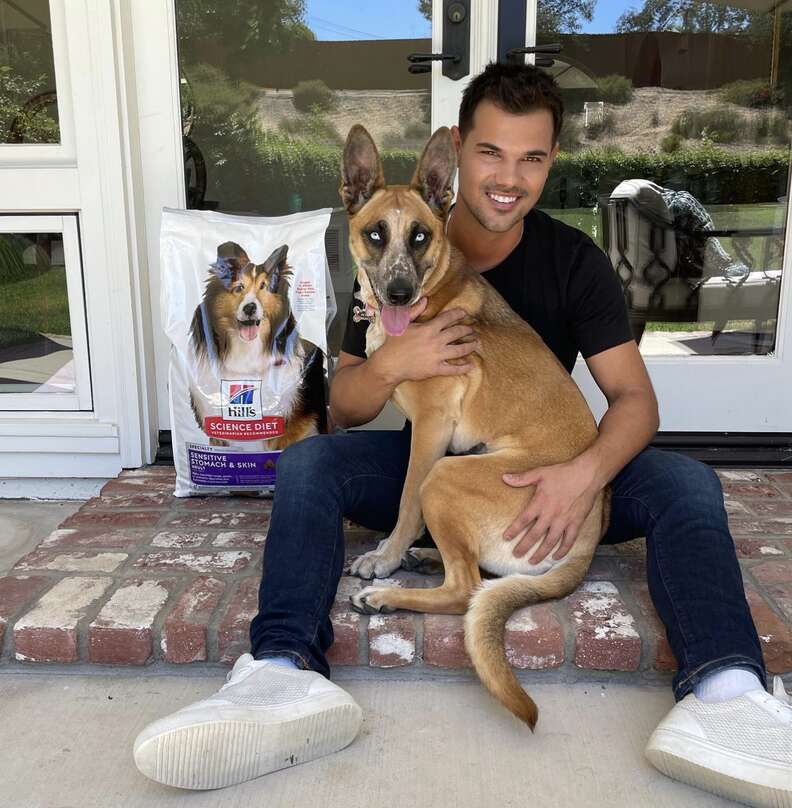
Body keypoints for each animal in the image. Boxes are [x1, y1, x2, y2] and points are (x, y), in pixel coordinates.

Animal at [342, 126, 612, 732]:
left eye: (420, 236)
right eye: (376, 234)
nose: (398, 294)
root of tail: (588, 536)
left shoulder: (432, 428)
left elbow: (404, 503)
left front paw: (386, 557)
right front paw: (397, 552)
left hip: (446, 473)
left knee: (465, 590)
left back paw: (392, 593)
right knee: (473, 575)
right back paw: (424, 558)